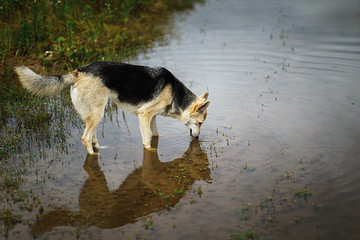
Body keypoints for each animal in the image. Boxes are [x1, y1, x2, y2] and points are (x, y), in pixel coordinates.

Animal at [15, 62, 210, 155]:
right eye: (200, 123)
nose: (197, 138)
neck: (175, 93)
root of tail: (79, 72)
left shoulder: (152, 118)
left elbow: (155, 135)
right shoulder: (144, 114)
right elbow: (147, 141)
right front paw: (150, 151)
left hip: (94, 113)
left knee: (91, 135)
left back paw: (98, 148)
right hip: (97, 112)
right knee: (85, 137)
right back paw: (93, 156)